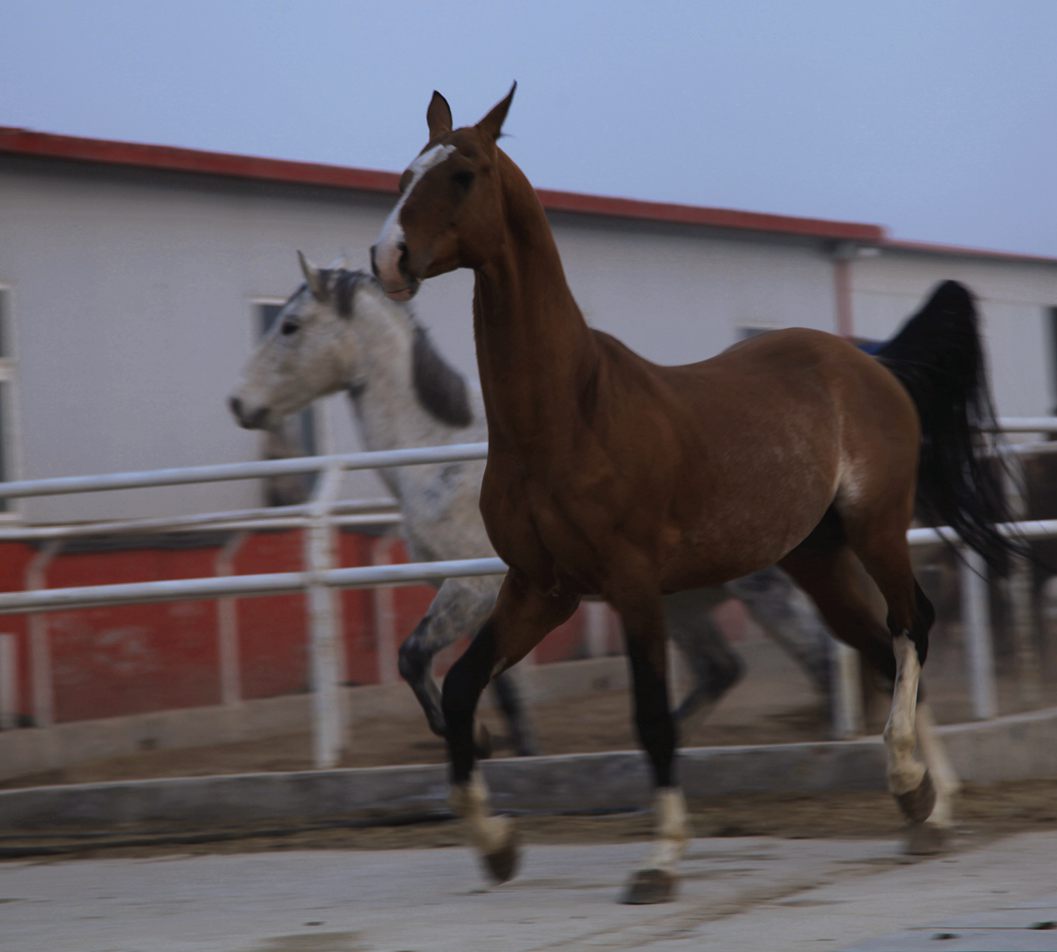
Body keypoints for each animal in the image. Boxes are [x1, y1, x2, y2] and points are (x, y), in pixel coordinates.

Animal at [228, 255, 836, 756]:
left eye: (289, 325)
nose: (239, 403)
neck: (441, 456)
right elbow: (500, 694)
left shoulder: (472, 588)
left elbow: (414, 657)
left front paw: (469, 740)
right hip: (684, 600)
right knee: (720, 670)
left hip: (764, 588)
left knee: (821, 661)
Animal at [369, 85, 1024, 904]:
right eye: (404, 175)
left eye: (462, 175)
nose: (387, 259)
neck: (567, 415)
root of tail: (870, 365)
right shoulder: (539, 587)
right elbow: (459, 688)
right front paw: (495, 844)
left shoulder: (632, 586)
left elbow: (653, 717)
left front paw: (658, 861)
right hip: (816, 560)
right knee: (878, 647)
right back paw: (927, 811)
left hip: (875, 527)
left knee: (912, 627)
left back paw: (913, 784)